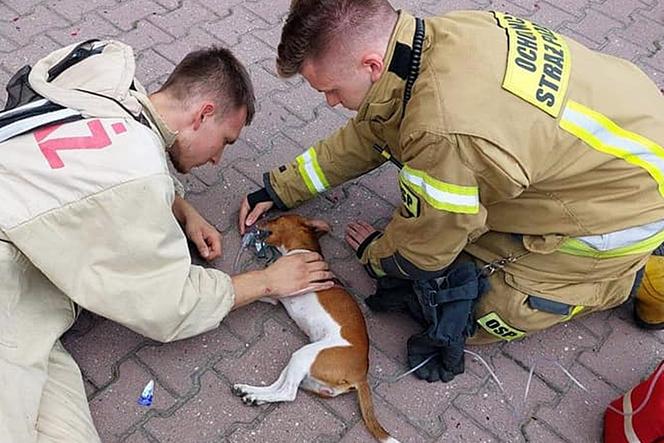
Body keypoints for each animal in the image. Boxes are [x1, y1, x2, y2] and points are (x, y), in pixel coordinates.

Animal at [232, 213, 396, 442]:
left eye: (277, 218)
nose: (259, 219)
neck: (303, 249)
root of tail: (361, 377)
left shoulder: (278, 290)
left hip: (305, 354)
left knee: (288, 392)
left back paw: (254, 395)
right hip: (303, 366)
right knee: (281, 385)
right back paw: (251, 393)